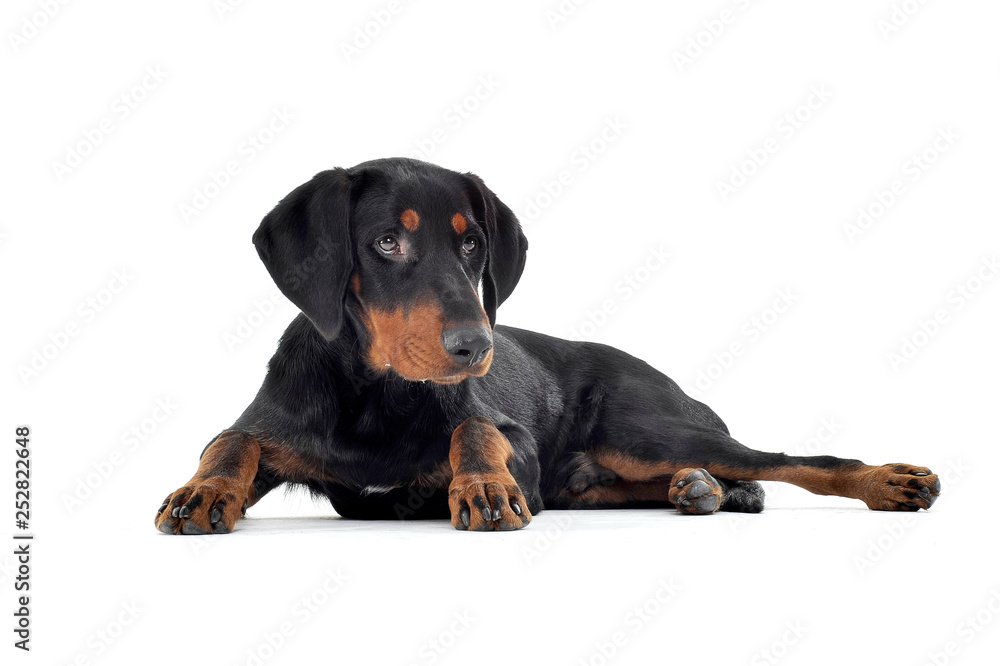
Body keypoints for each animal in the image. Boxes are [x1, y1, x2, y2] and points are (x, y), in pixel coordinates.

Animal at [152, 157, 940, 536]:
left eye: (472, 242)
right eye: (386, 241)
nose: (475, 347)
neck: (376, 394)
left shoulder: (520, 445)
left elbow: (475, 428)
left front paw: (482, 484)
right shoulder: (281, 429)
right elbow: (232, 439)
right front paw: (202, 491)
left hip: (644, 429)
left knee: (795, 461)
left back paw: (890, 482)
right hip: (594, 479)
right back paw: (698, 489)